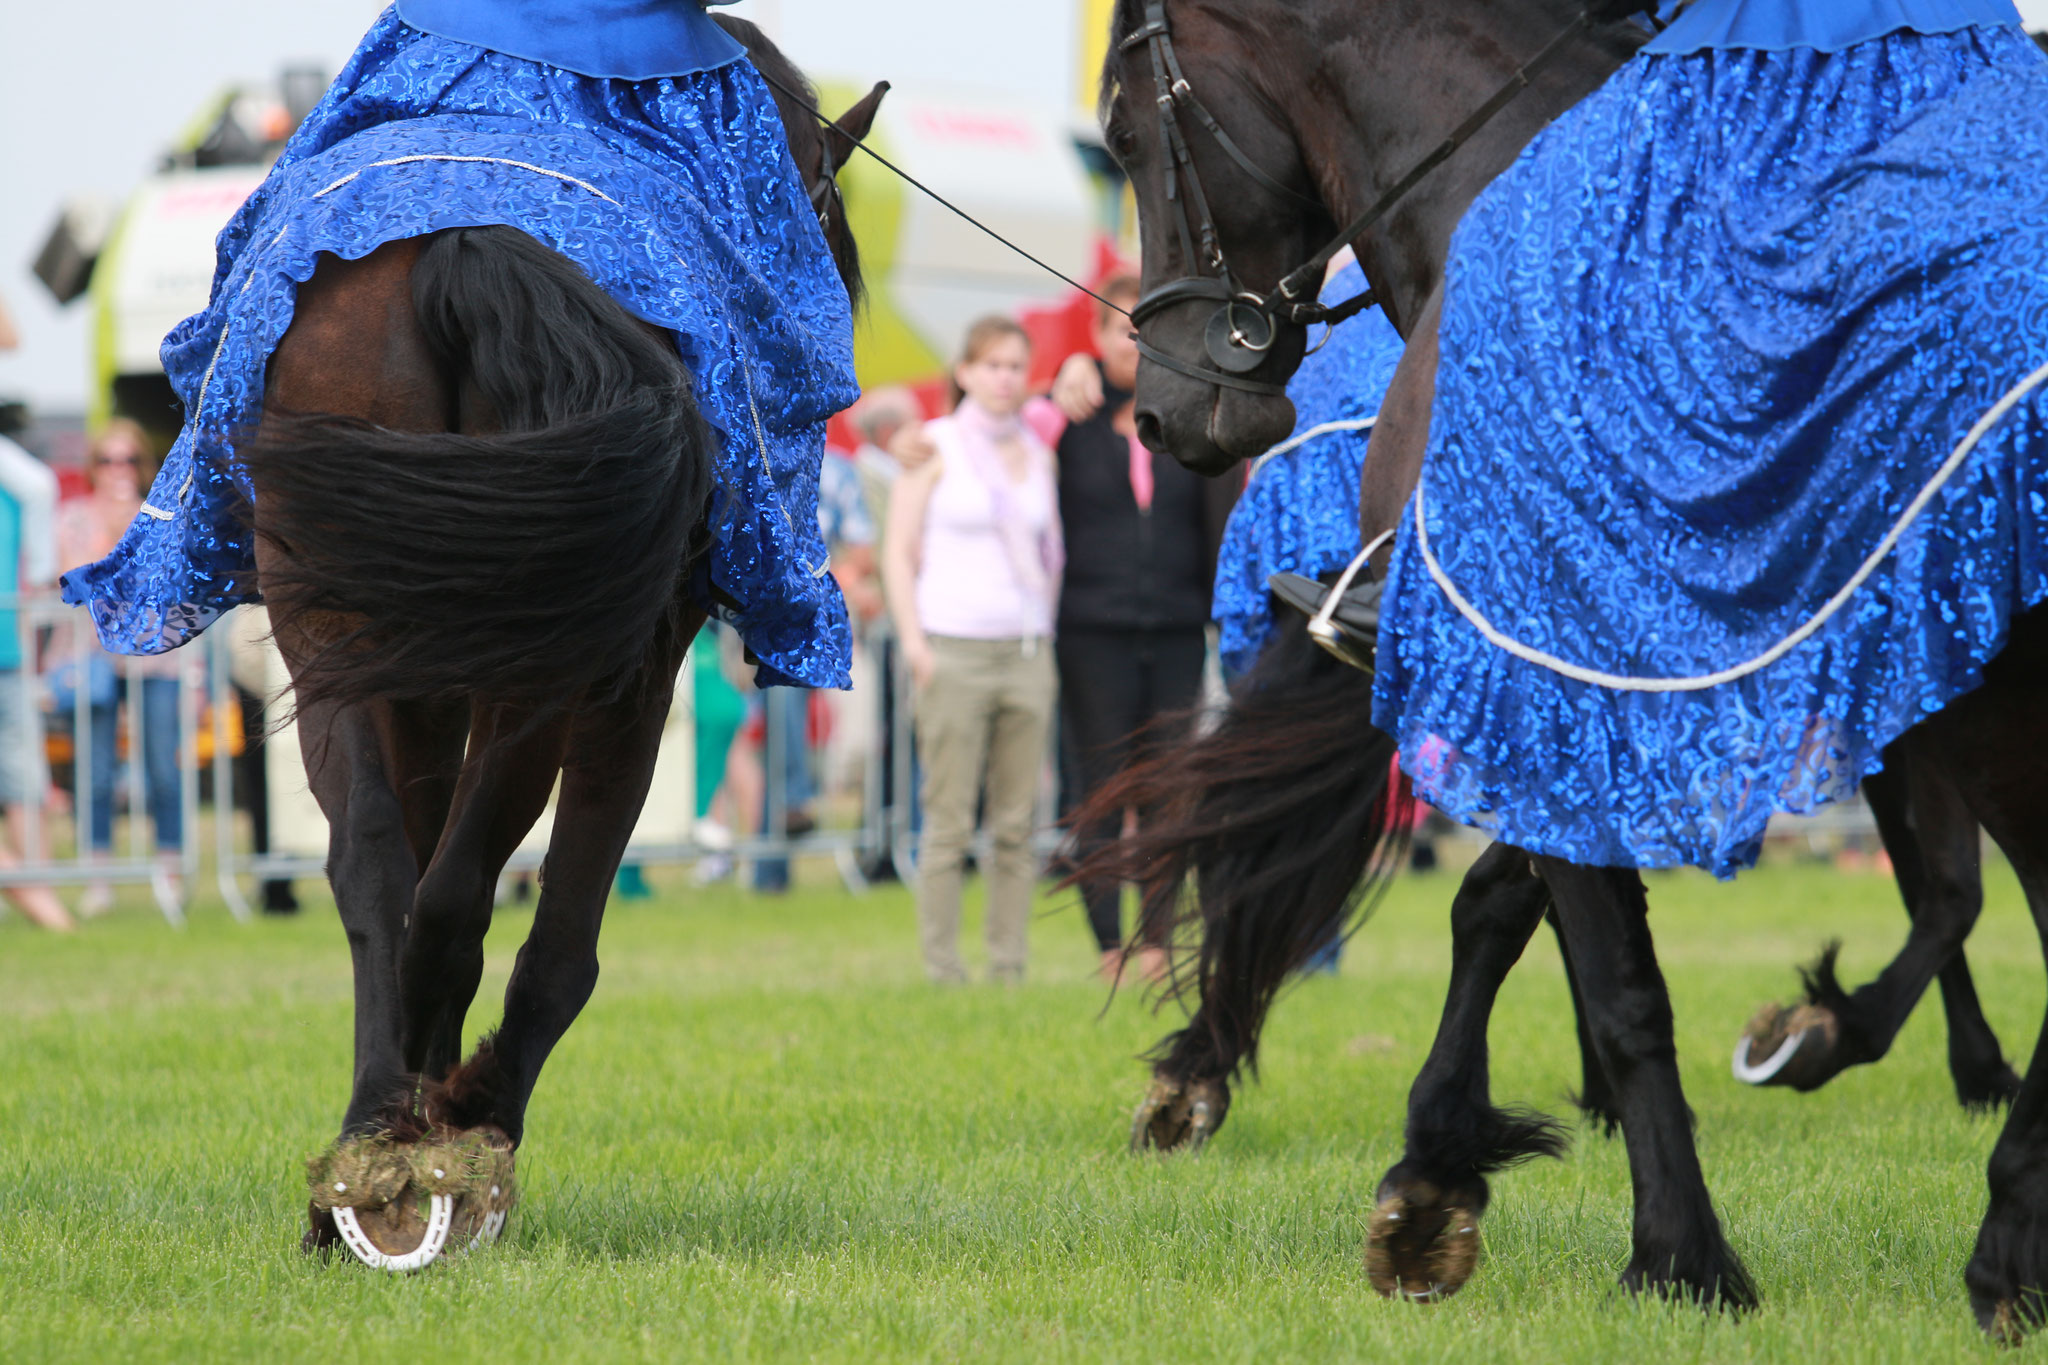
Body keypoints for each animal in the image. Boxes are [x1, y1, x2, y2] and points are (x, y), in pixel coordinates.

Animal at [243, 21, 884, 1268]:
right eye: (822, 208)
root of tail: (464, 239)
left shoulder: (422, 676)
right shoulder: (631, 685)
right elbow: (558, 940)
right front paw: (468, 1118)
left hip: (337, 623)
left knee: (378, 867)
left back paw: (371, 1147)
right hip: (546, 674)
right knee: (455, 901)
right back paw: (432, 1140)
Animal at [1105, 0, 2048, 1334]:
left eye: (1125, 134)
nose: (1163, 414)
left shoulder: (1563, 673)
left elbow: (1593, 959)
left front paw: (1664, 1248)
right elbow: (1522, 912)